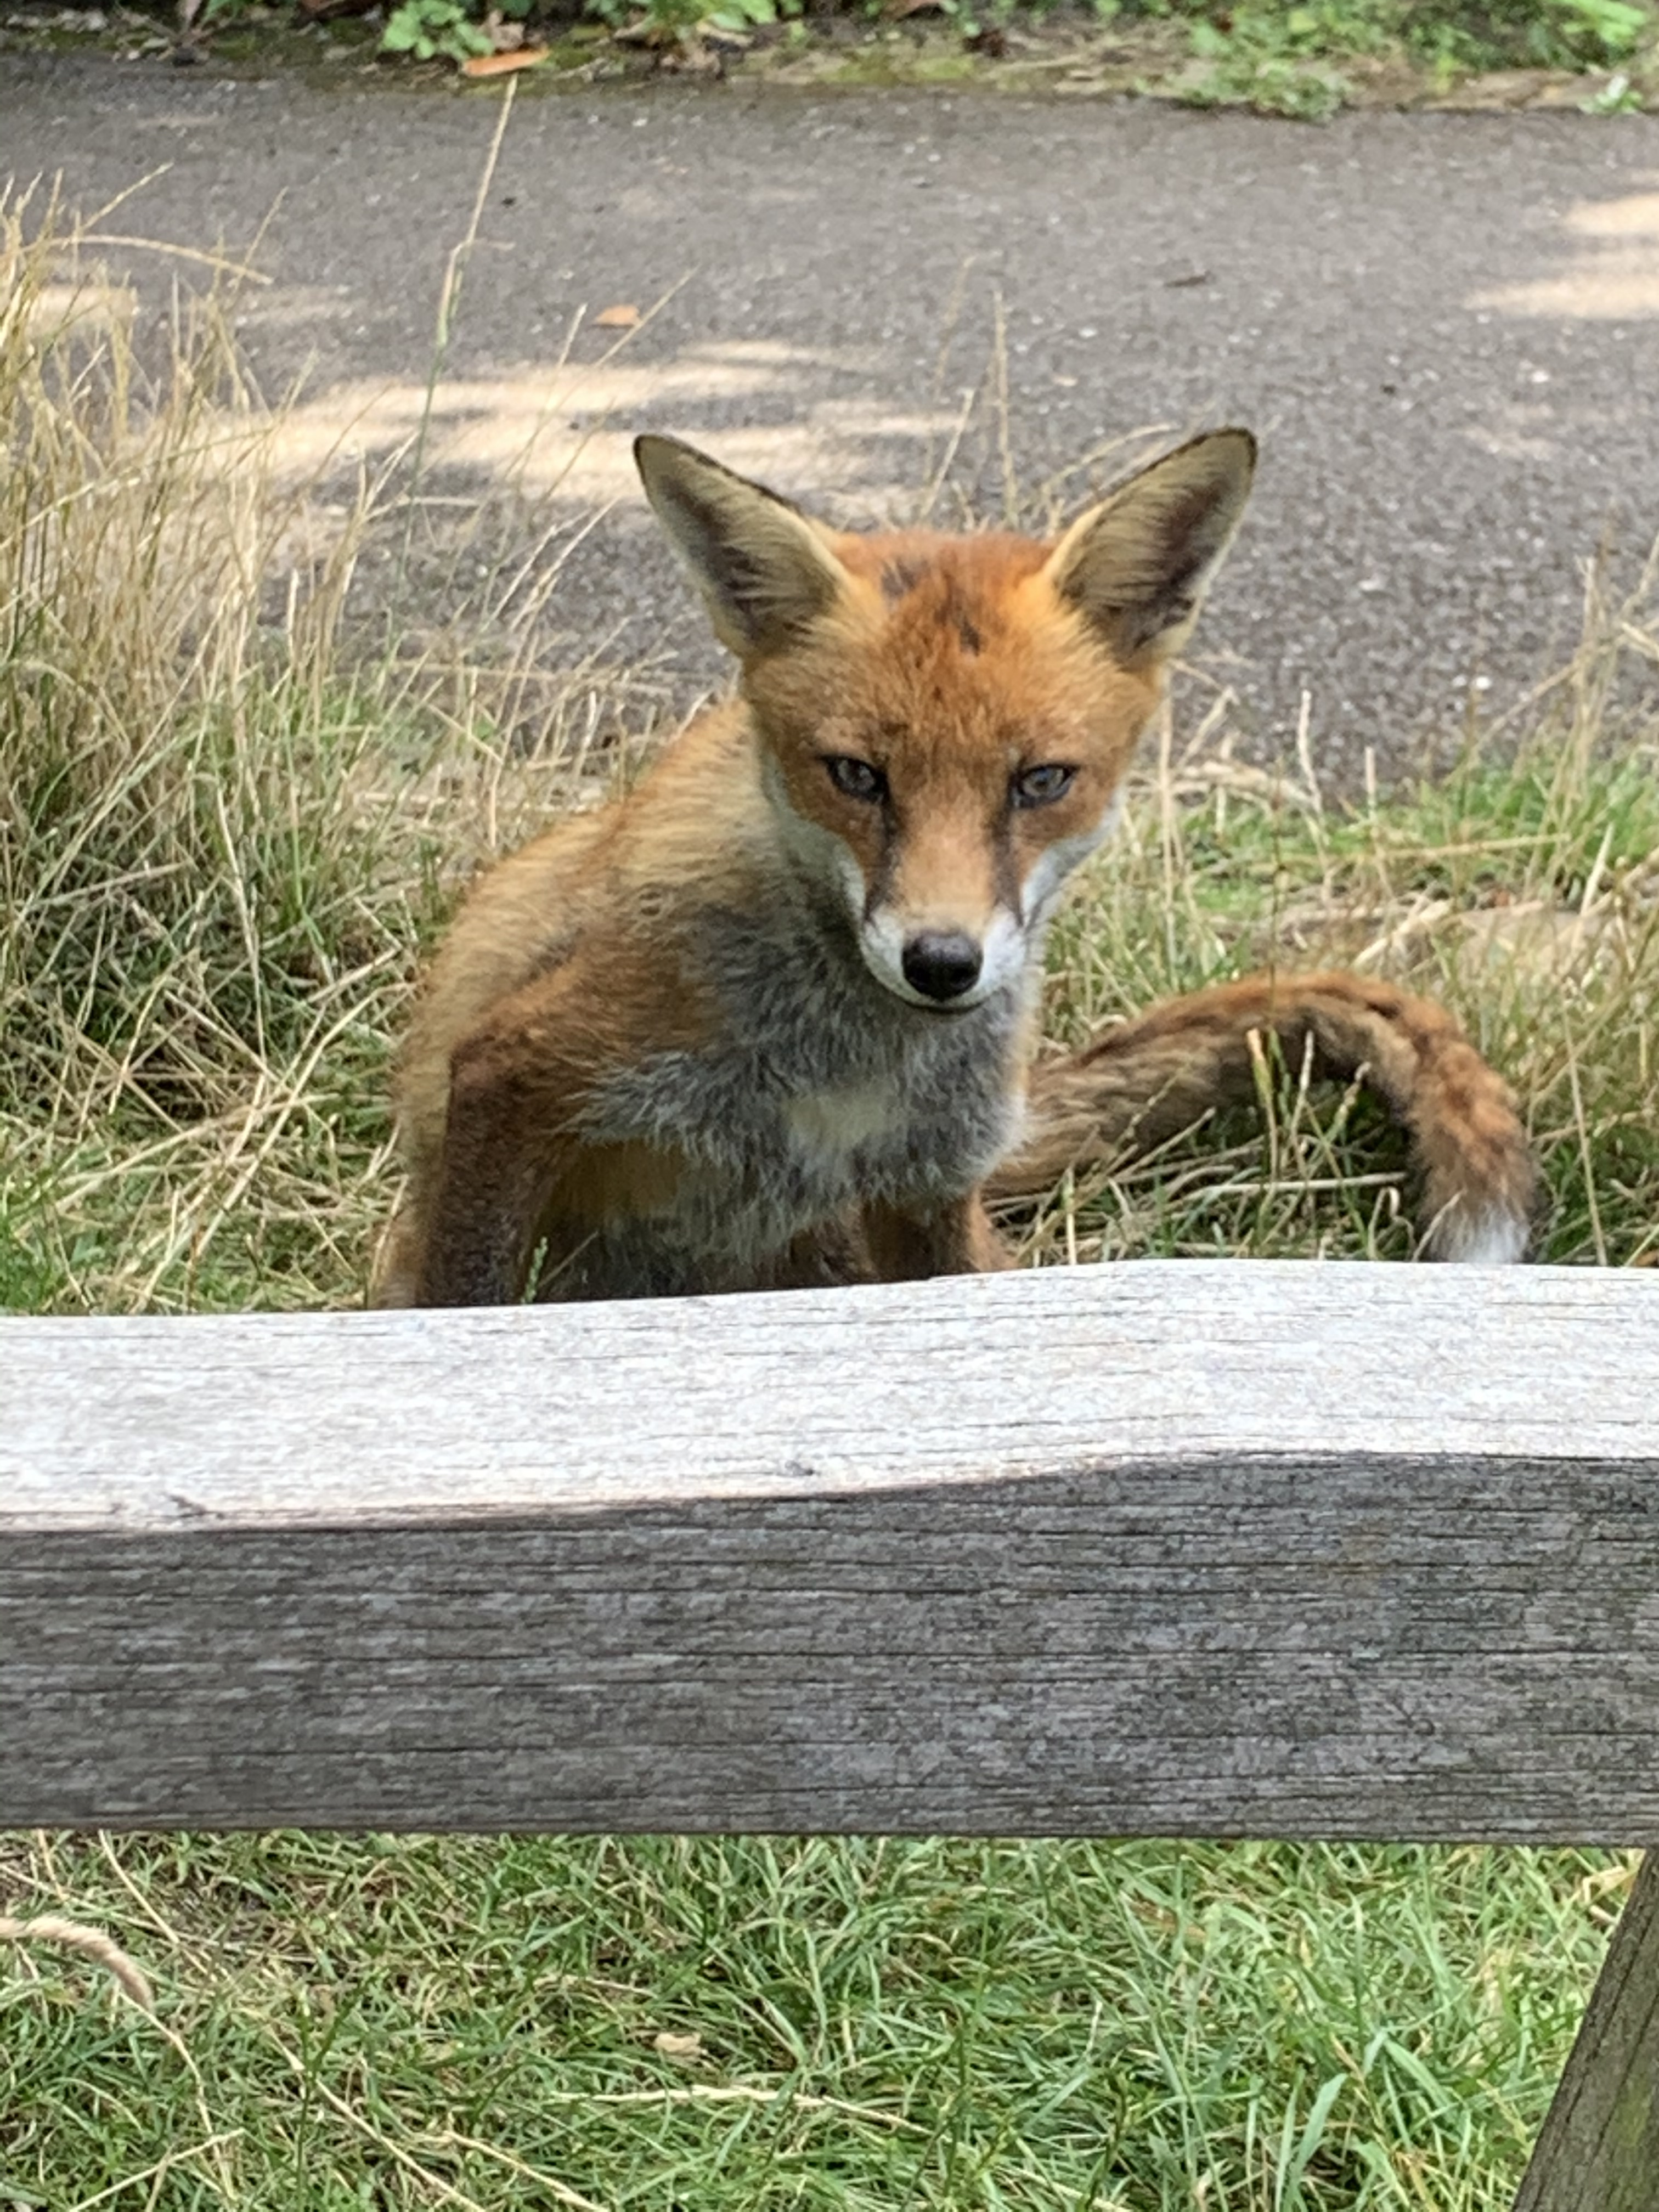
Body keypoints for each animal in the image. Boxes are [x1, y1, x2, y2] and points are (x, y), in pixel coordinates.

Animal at [373, 428, 1535, 1309]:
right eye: (856, 776)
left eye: (1039, 781)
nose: (941, 963)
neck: (843, 1072)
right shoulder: (518, 1067)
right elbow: (460, 1300)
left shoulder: (921, 1188)